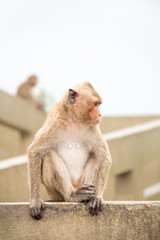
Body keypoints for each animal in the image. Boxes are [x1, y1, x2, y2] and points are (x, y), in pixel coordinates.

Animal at [27, 82, 111, 219]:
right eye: (95, 104)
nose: (100, 115)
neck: (75, 119)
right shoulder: (54, 123)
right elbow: (35, 151)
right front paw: (34, 202)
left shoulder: (93, 127)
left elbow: (104, 156)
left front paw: (97, 198)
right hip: (55, 192)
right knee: (49, 154)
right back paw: (72, 195)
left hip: (82, 182)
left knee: (95, 156)